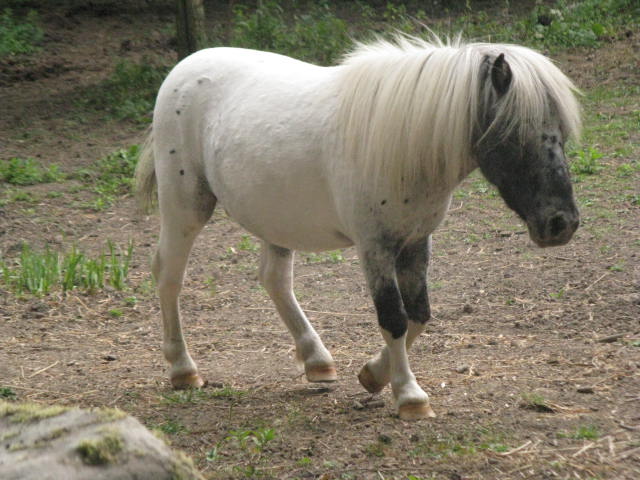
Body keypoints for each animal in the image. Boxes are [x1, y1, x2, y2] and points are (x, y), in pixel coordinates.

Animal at [138, 36, 584, 420]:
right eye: (514, 133)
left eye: (560, 134)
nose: (561, 224)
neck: (403, 143)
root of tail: (185, 67)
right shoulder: (375, 248)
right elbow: (394, 318)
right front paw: (409, 396)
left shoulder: (416, 242)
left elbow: (419, 314)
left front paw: (373, 375)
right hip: (186, 208)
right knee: (169, 275)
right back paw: (183, 369)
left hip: (275, 220)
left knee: (274, 279)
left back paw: (317, 360)